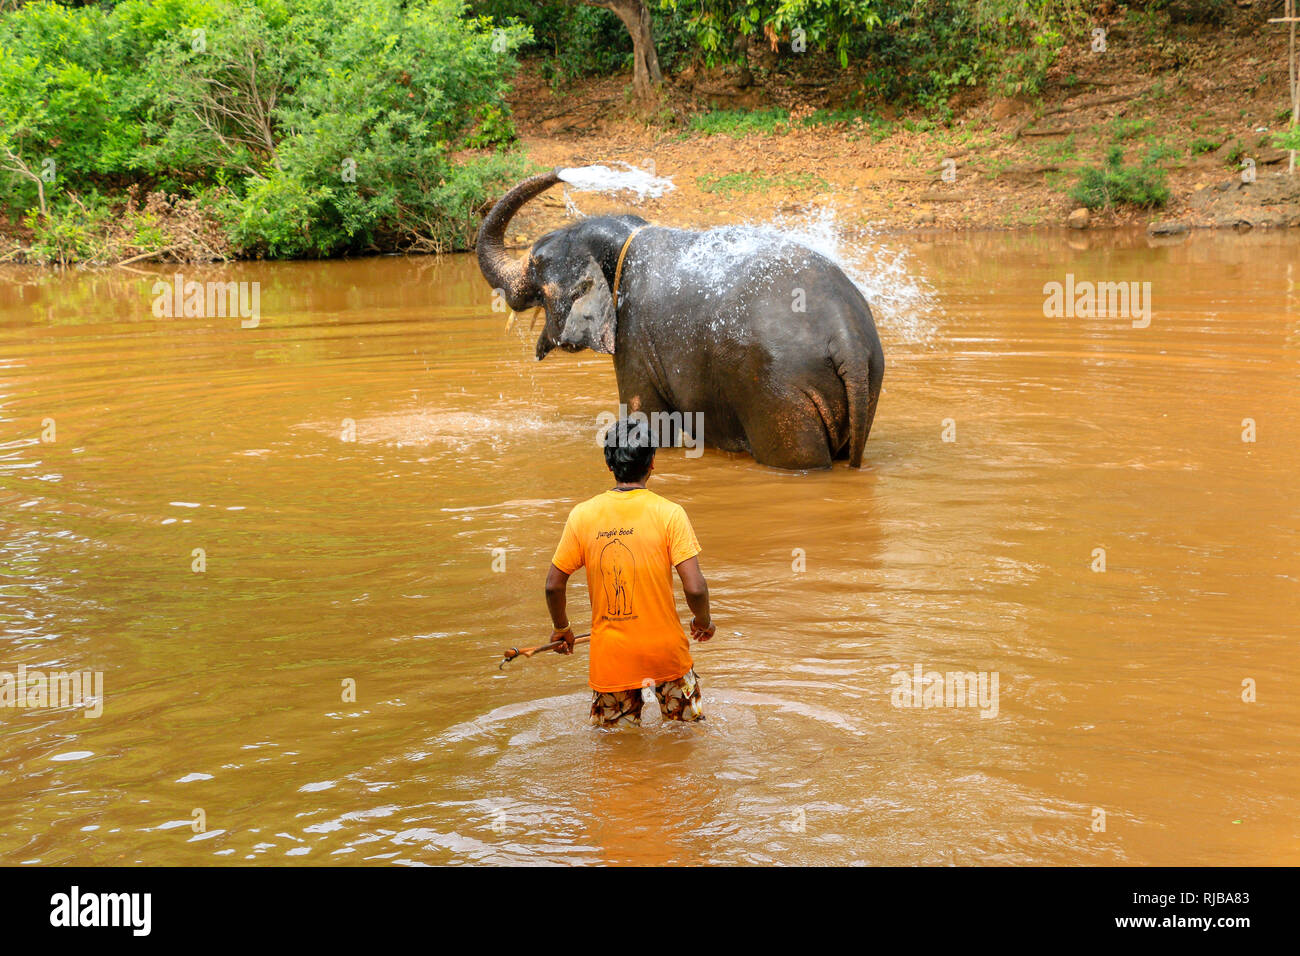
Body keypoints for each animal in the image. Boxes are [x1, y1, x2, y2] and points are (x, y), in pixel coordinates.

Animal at [478, 172, 883, 476]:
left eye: (535, 262)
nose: (561, 172)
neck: (626, 236)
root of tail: (846, 335)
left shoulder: (635, 337)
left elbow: (648, 422)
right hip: (863, 382)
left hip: (781, 394)